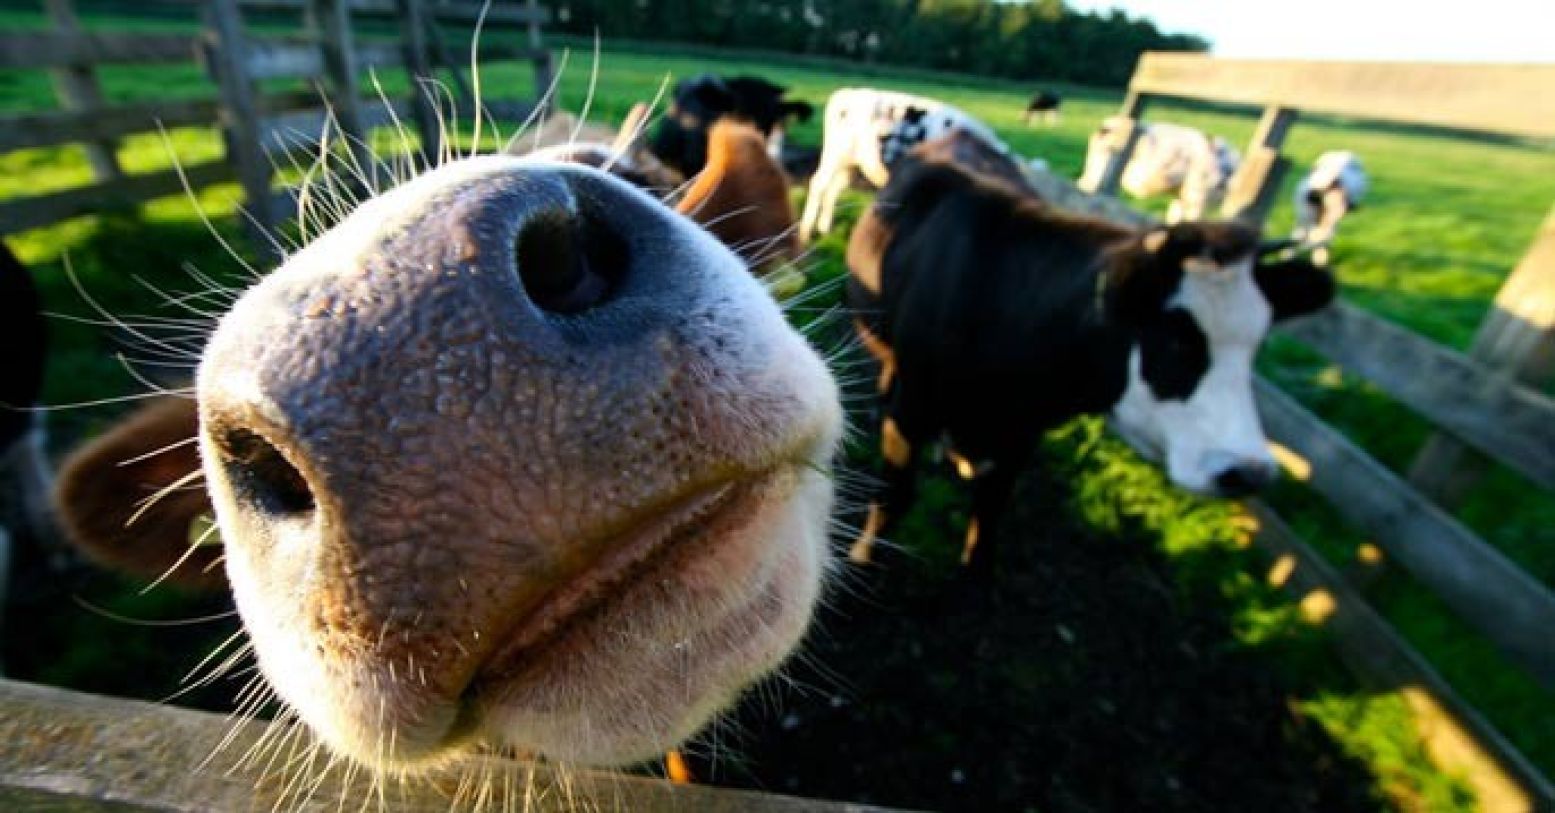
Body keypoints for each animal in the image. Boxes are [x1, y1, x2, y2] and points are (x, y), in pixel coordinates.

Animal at [802, 88, 1007, 244]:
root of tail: (849, 93)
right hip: (834, 154)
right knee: (818, 184)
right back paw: (806, 232)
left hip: (850, 163)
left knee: (834, 189)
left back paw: (824, 229)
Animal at [845, 154, 1331, 572]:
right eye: (1175, 338)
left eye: (1255, 344)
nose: (1249, 472)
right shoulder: (913, 411)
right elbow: (894, 495)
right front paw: (863, 558)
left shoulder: (1021, 436)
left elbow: (987, 519)